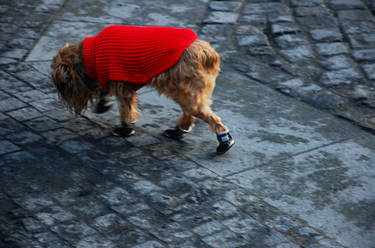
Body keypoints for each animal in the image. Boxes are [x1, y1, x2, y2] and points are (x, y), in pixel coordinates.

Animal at [48, 25, 234, 154]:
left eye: (61, 87)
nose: (63, 100)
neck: (89, 57)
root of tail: (207, 53)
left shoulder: (121, 84)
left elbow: (126, 108)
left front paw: (125, 128)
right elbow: (107, 92)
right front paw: (103, 103)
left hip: (187, 91)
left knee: (204, 114)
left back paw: (224, 141)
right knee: (190, 113)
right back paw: (178, 131)